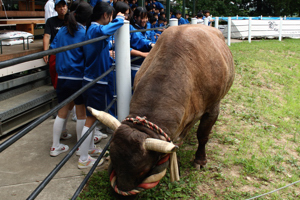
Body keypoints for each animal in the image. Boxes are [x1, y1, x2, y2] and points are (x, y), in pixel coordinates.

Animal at [89, 23, 234, 194]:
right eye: (114, 159)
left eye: (143, 170)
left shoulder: (212, 108)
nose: (121, 192)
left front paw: (200, 159)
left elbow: (203, 136)